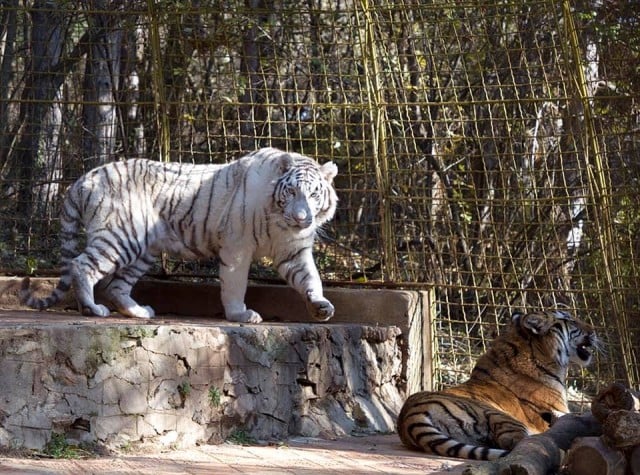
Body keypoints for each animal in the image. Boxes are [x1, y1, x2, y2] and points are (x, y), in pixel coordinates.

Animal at [18, 148, 340, 324]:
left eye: (314, 194)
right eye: (292, 192)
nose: (302, 218)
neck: (281, 222)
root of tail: (85, 177)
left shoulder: (293, 251)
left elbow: (310, 278)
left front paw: (321, 306)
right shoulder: (237, 247)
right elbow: (235, 285)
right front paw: (240, 315)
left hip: (143, 248)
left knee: (116, 286)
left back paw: (139, 312)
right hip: (121, 235)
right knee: (82, 265)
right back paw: (92, 309)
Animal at [398, 308, 596, 462]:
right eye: (570, 321)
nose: (594, 331)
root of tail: (408, 416)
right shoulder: (561, 410)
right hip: (501, 416)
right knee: (517, 442)